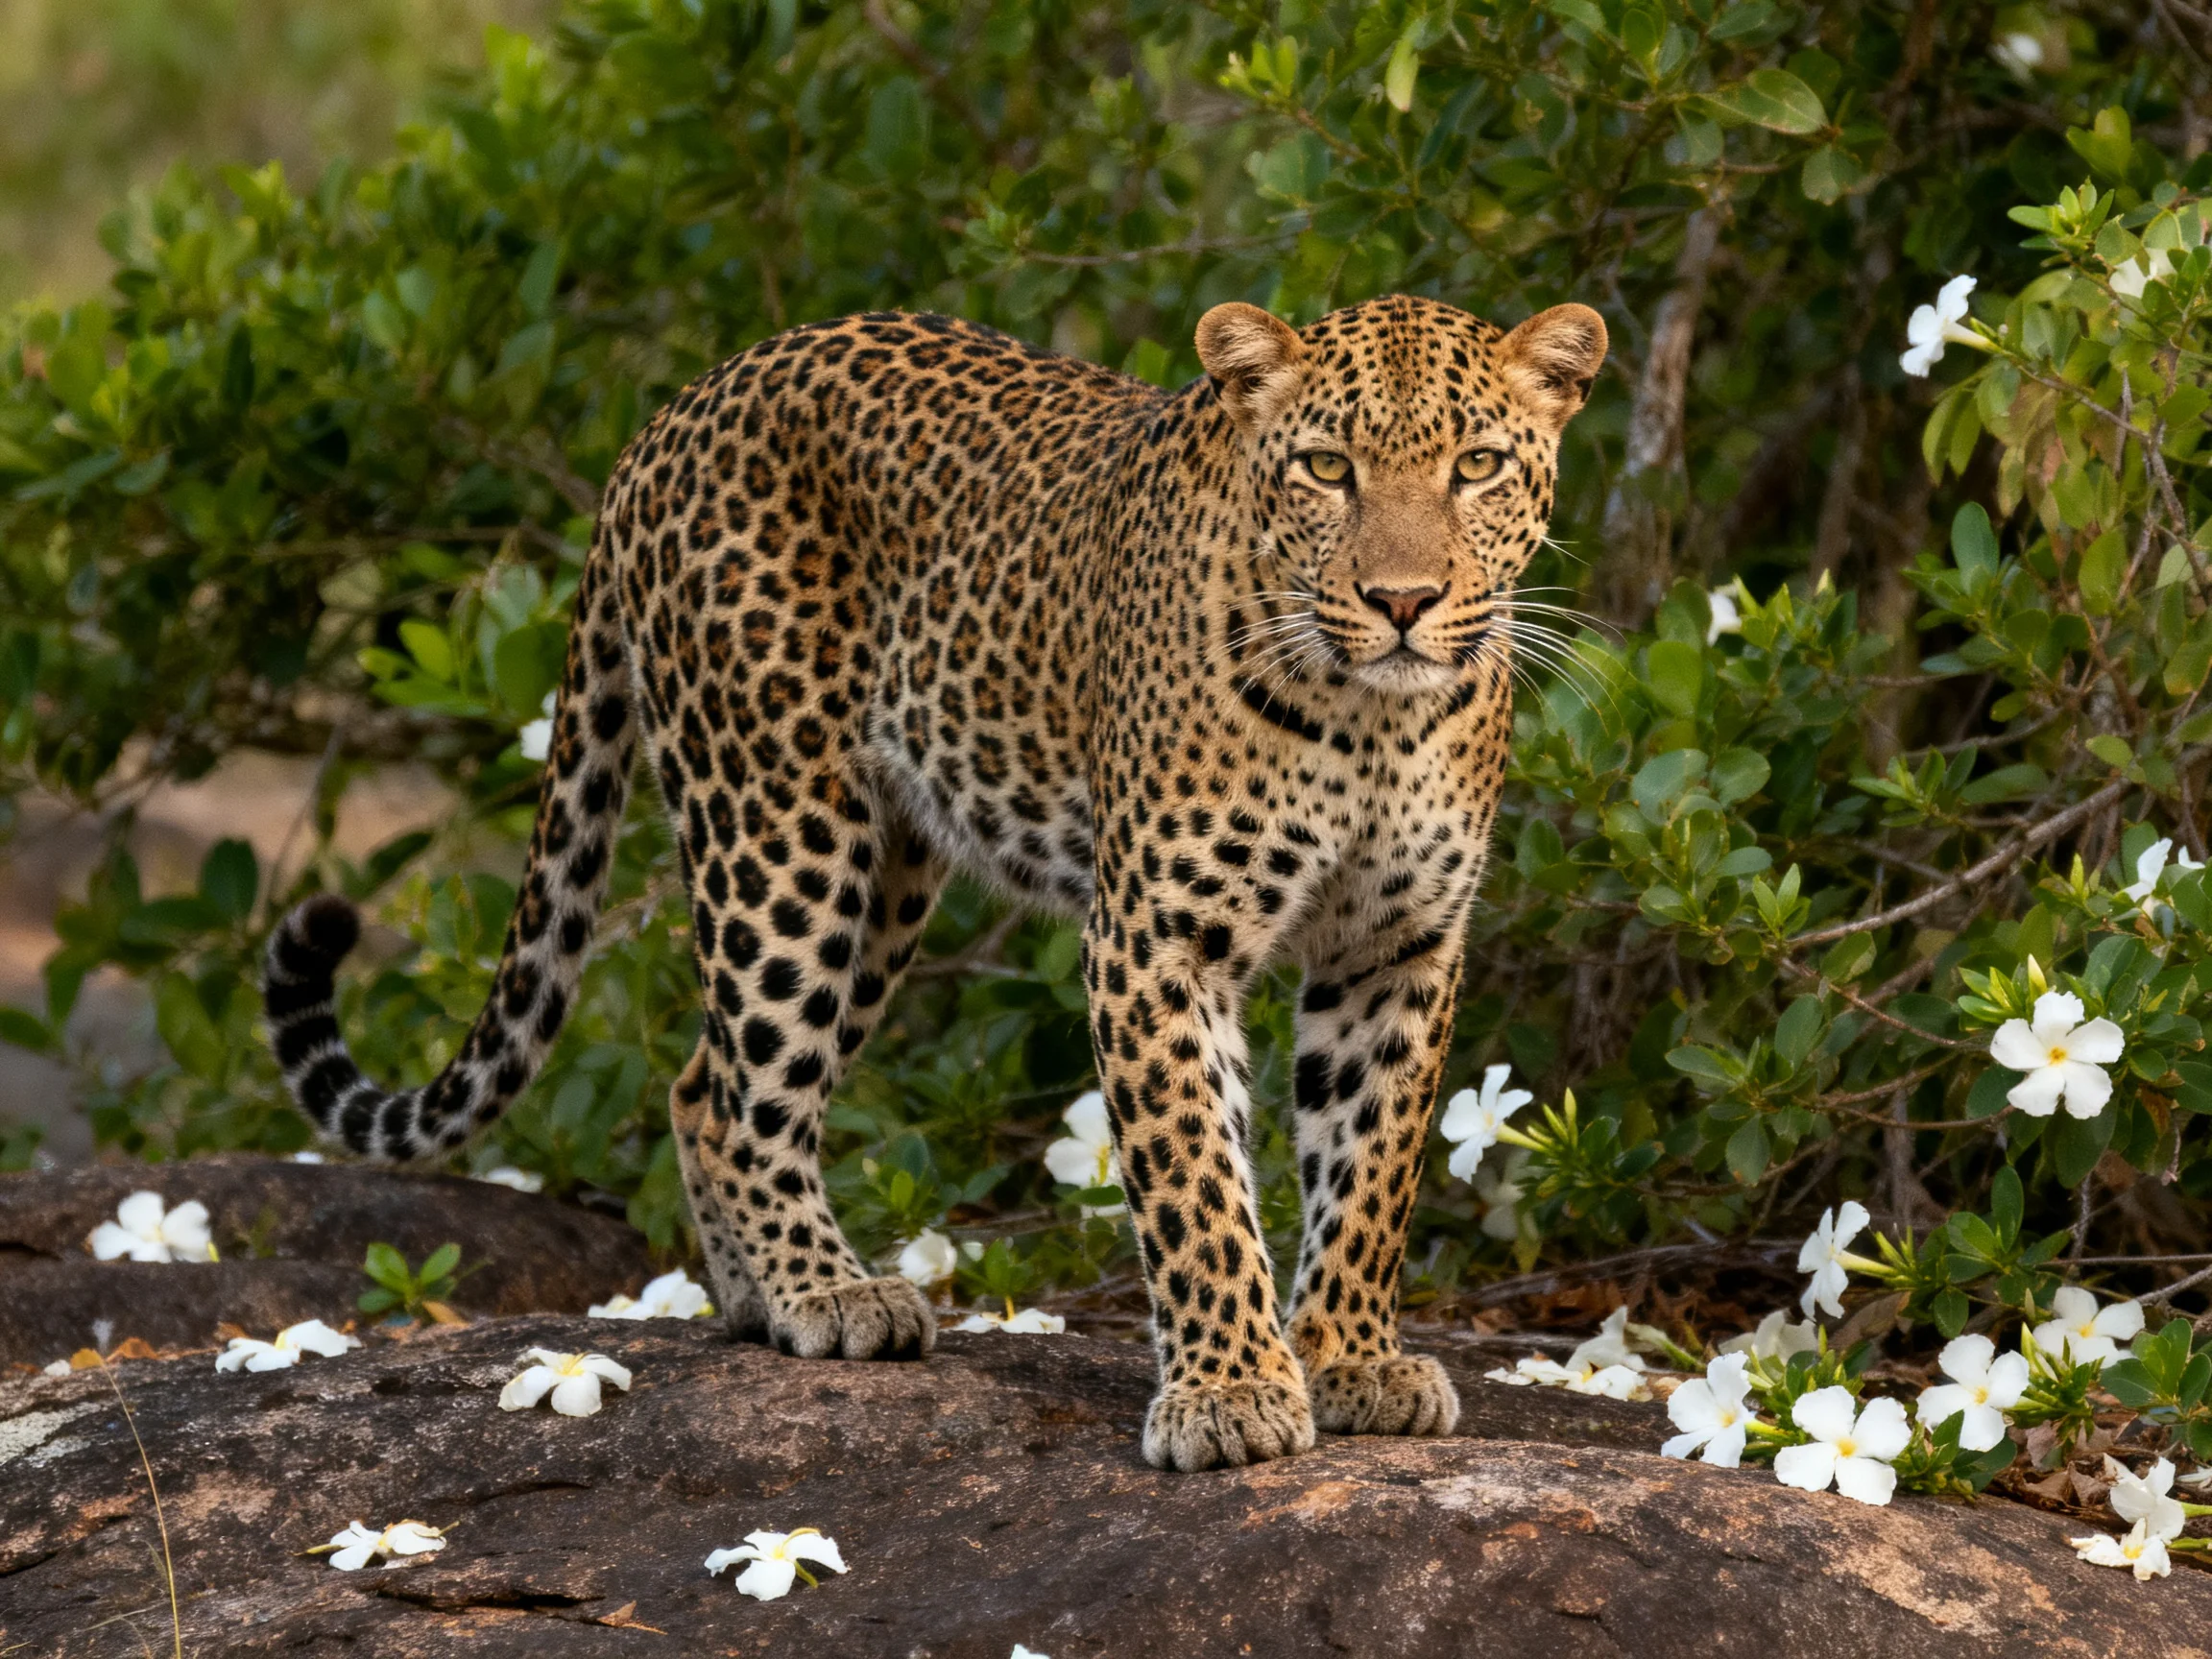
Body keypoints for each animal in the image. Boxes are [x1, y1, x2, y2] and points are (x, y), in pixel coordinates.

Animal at [261, 292, 1607, 1472]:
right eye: (1327, 467)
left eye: (1478, 465)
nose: (1403, 600)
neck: (1371, 722)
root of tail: (675, 409)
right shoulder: (1158, 940)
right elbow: (1196, 1178)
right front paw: (1228, 1391)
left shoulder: (1397, 949)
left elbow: (1371, 1166)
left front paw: (1349, 1358)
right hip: (779, 830)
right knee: (746, 1087)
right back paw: (827, 1293)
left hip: (887, 882)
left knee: (705, 1080)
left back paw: (755, 1300)